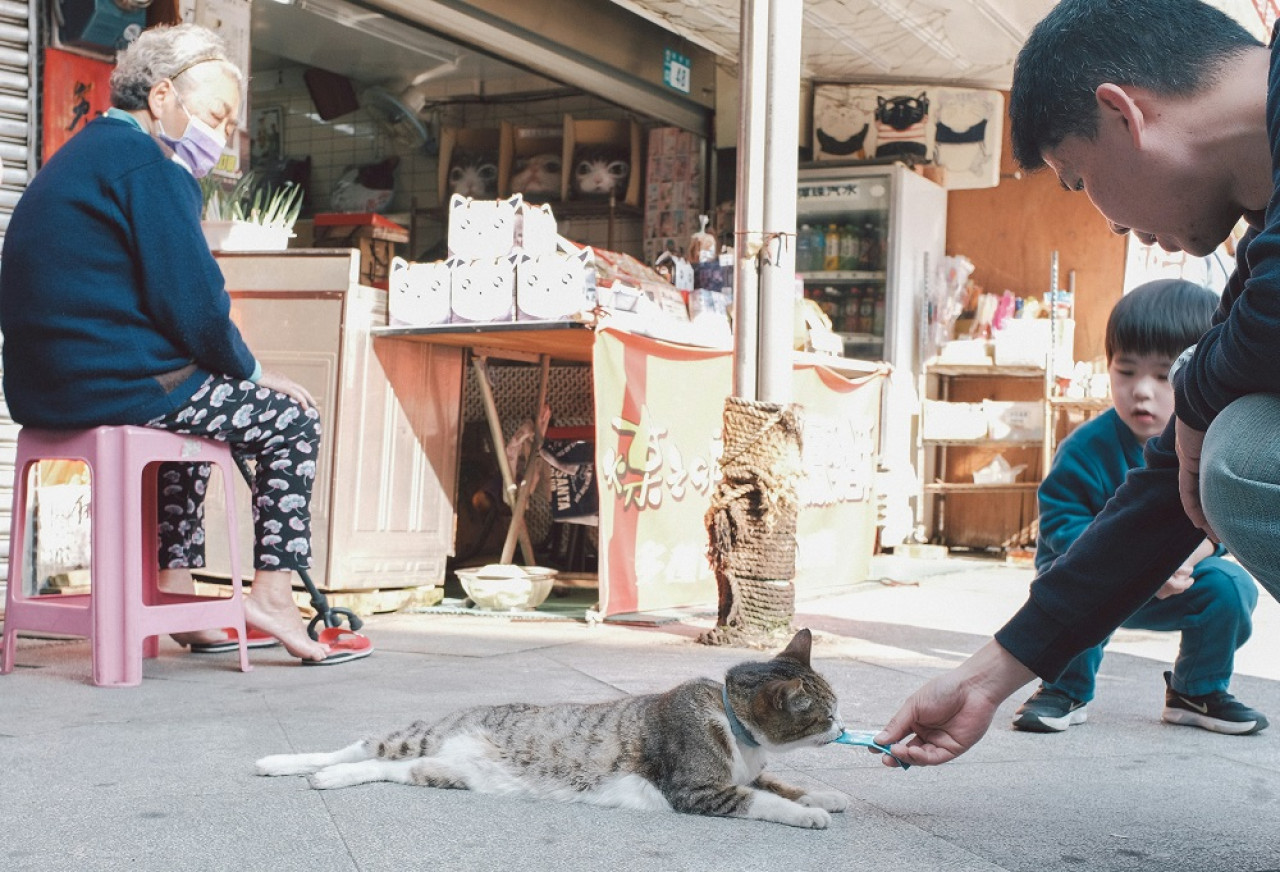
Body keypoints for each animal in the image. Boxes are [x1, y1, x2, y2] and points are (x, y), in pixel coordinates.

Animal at [252, 629, 849, 824]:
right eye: (826, 712)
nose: (844, 727)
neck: (735, 728)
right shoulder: (699, 790)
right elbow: (764, 800)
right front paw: (811, 815)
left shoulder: (747, 773)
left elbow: (781, 783)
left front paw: (824, 796)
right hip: (419, 736)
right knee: (355, 748)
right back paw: (287, 764)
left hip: (439, 771)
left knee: (383, 768)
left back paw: (329, 779)